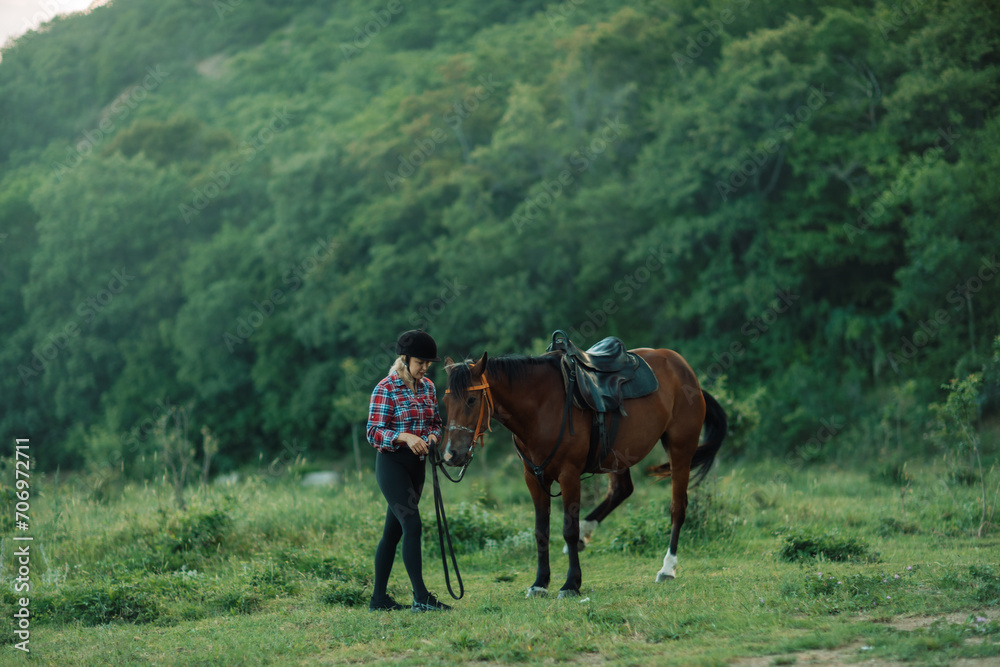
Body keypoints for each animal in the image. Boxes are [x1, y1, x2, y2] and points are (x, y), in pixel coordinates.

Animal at [442, 344, 732, 600]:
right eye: (445, 400)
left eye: (471, 399)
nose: (451, 455)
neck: (541, 406)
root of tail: (686, 373)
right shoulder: (533, 478)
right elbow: (541, 531)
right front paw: (540, 583)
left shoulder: (569, 475)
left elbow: (568, 529)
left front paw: (571, 584)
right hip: (617, 456)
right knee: (621, 491)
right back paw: (588, 531)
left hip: (681, 449)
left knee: (677, 507)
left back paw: (668, 568)